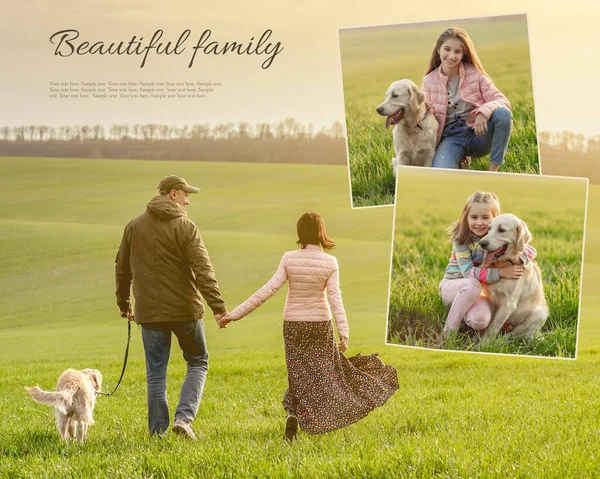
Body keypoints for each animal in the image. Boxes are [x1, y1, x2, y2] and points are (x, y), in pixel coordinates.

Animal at [478, 214, 548, 342]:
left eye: (501, 230)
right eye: (489, 229)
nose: (482, 243)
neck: (503, 265)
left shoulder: (508, 303)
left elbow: (492, 328)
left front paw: (483, 344)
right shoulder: (489, 297)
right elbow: (488, 326)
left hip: (538, 314)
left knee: (512, 336)